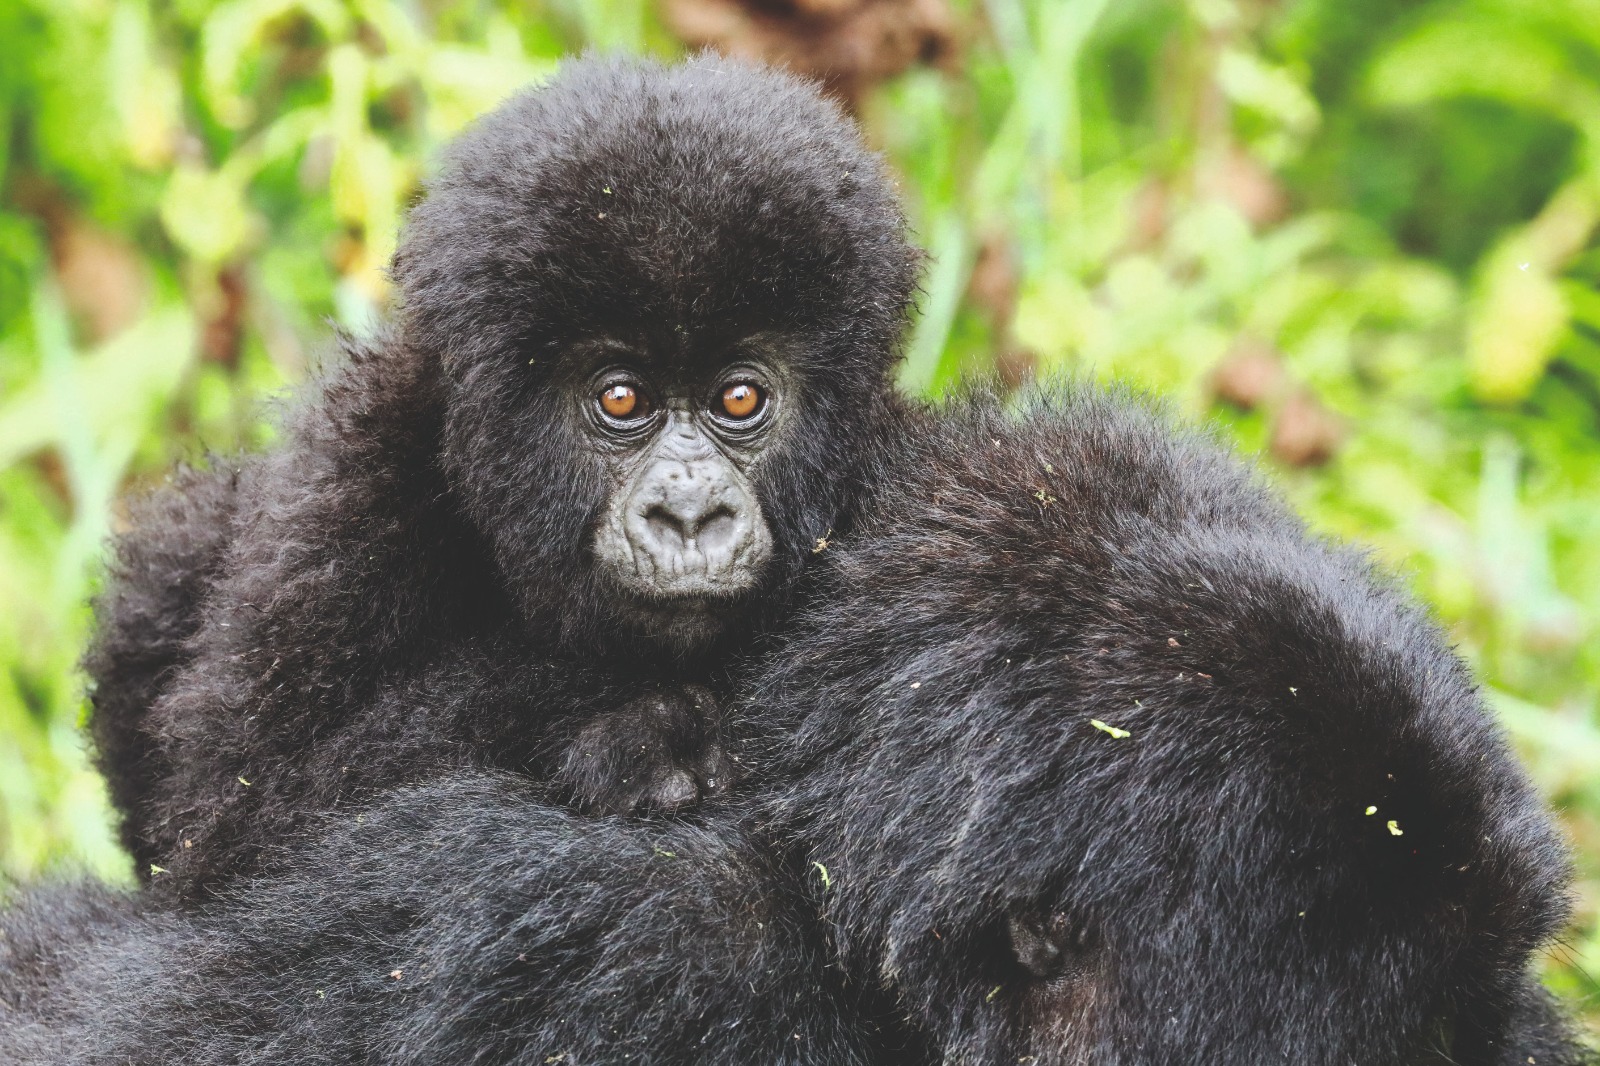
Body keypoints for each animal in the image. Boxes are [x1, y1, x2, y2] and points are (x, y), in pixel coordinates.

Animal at [84, 54, 915, 889]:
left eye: (738, 397)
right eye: (622, 398)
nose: (688, 517)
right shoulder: (350, 497)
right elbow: (242, 818)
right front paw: (636, 726)